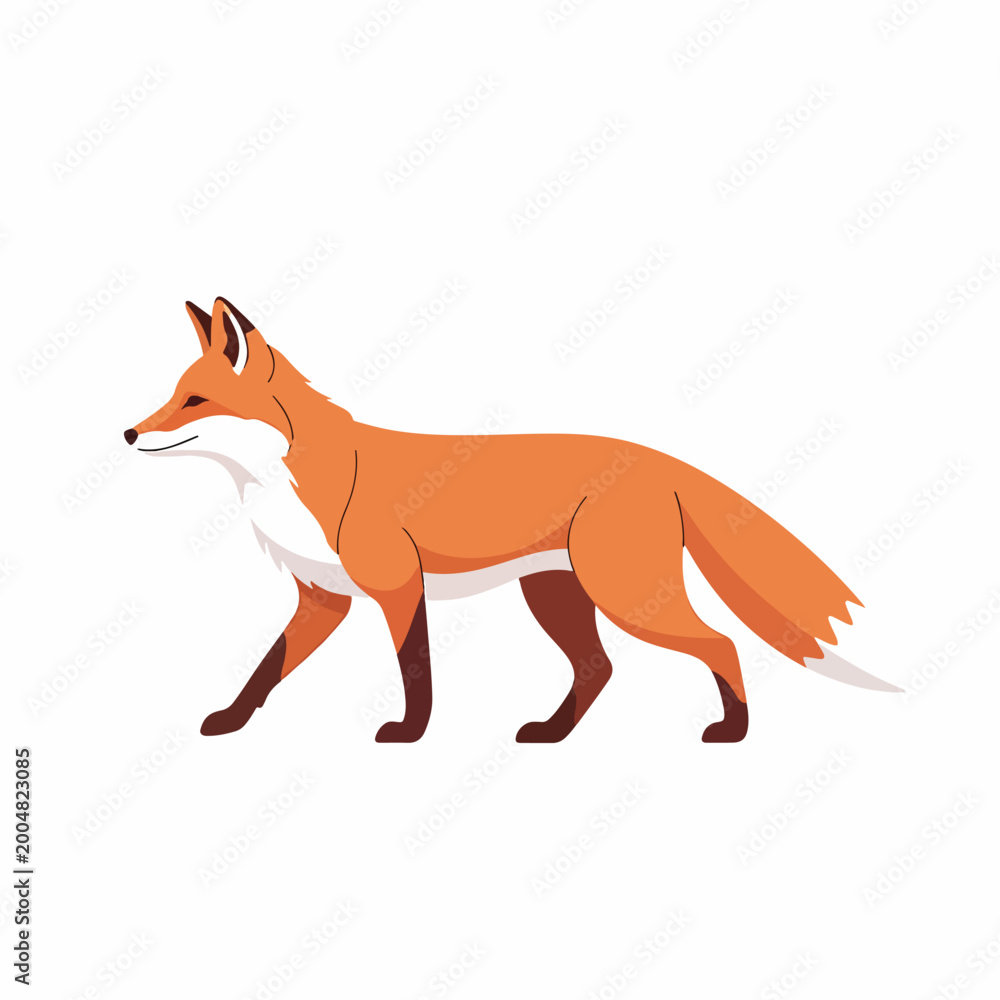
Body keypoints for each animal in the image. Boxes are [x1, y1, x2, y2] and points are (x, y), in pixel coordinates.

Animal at [124, 297, 901, 744]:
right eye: (174, 395)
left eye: (195, 401)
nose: (128, 435)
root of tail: (657, 458)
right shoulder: (322, 600)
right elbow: (264, 670)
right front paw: (229, 722)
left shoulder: (397, 587)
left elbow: (413, 668)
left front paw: (410, 733)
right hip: (557, 595)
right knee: (599, 669)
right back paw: (554, 734)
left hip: (627, 596)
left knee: (720, 644)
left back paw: (732, 731)